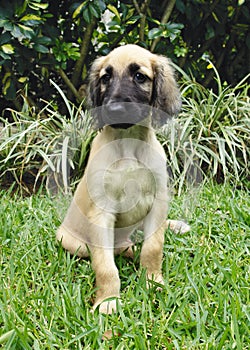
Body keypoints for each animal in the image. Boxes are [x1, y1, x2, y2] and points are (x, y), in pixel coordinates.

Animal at [56, 44, 189, 314]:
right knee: (111, 251)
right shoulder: (102, 211)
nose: (115, 111)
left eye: (140, 76)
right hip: (72, 242)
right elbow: (105, 266)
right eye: (106, 78)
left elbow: (153, 247)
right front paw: (107, 301)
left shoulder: (158, 203)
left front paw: (153, 282)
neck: (128, 146)